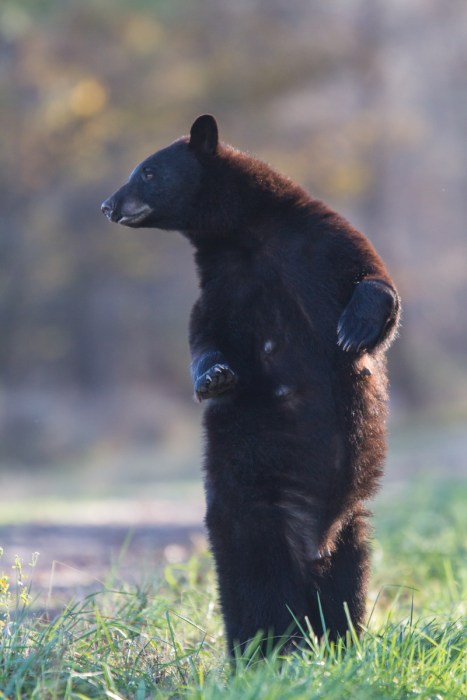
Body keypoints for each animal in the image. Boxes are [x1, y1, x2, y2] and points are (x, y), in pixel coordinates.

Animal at [101, 115, 400, 656]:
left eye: (148, 171)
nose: (108, 205)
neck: (246, 235)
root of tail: (310, 540)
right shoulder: (223, 286)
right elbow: (204, 335)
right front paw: (214, 377)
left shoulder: (322, 240)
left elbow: (375, 277)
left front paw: (353, 329)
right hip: (248, 506)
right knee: (253, 580)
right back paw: (266, 649)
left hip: (353, 525)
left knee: (348, 582)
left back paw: (338, 644)